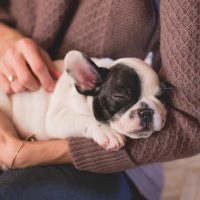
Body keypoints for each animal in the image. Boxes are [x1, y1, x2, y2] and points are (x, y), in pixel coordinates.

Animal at [0, 50, 166, 152]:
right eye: (120, 96)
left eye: (160, 96)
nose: (146, 111)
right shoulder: (57, 118)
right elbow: (83, 118)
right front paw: (107, 132)